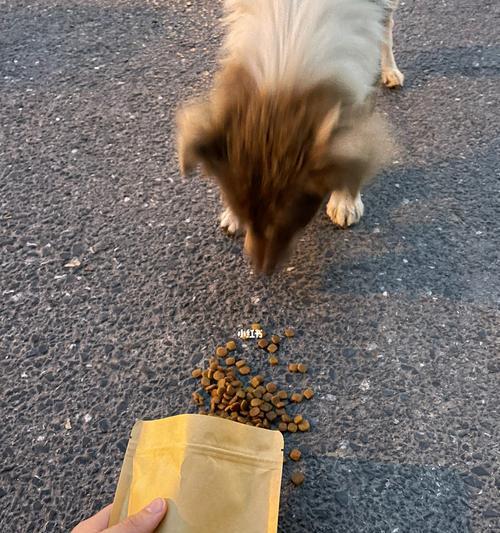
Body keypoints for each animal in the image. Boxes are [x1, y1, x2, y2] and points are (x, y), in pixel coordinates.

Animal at [178, 0, 404, 272]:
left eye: (295, 220)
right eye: (245, 215)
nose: (261, 272)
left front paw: (345, 200)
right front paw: (231, 215)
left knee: (388, 24)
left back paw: (391, 70)